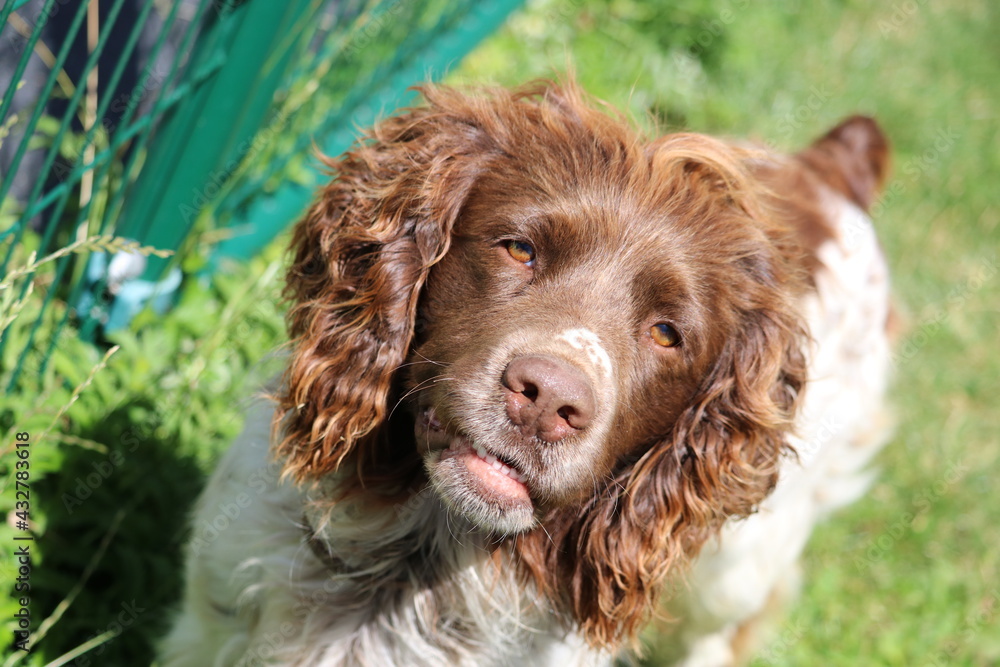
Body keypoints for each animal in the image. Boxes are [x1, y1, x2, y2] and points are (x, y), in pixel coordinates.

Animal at [160, 81, 896, 664]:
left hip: (734, 571)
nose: (549, 401)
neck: (415, 563)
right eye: (520, 249)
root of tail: (832, 173)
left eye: (667, 333)